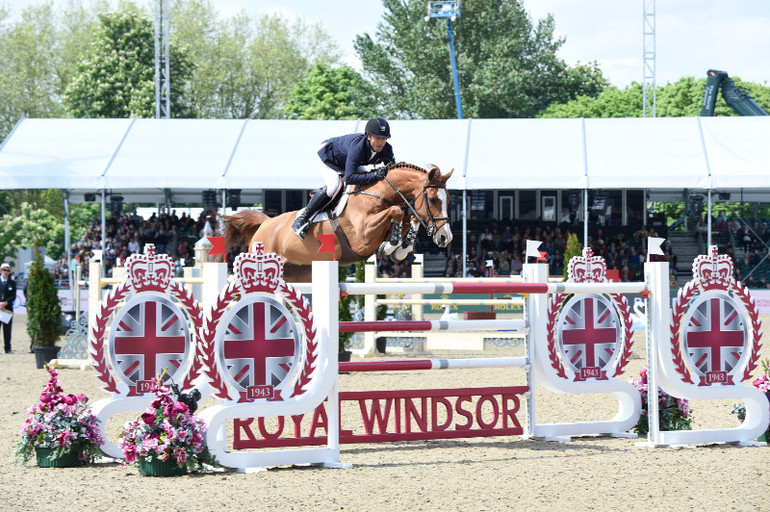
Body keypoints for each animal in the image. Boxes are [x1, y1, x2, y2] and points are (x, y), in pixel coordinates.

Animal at [220, 163, 450, 282]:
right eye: (432, 199)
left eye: (448, 198)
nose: (446, 238)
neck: (378, 194)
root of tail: (266, 224)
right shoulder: (362, 237)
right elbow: (397, 212)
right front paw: (392, 244)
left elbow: (408, 217)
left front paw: (398, 248)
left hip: (298, 273)